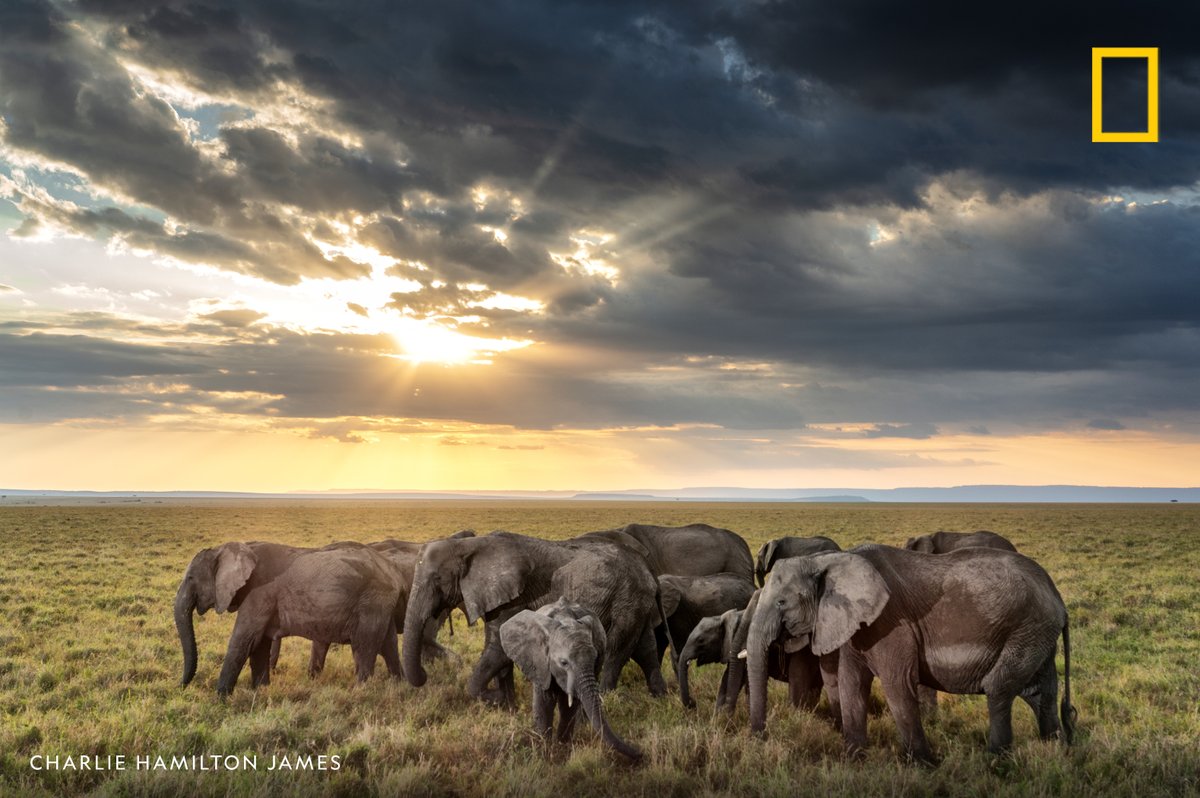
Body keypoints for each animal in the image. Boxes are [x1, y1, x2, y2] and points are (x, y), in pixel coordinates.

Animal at [215, 544, 404, 695]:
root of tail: (393, 572)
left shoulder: (259, 593)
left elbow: (245, 640)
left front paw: (221, 699)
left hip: (372, 601)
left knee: (364, 645)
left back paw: (360, 692)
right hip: (381, 604)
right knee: (388, 644)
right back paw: (399, 686)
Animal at [402, 531, 666, 706]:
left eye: (437, 579)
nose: (425, 674)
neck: (467, 546)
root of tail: (648, 569)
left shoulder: (515, 597)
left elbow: (498, 647)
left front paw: (497, 699)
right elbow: (500, 646)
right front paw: (507, 705)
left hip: (627, 598)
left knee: (616, 648)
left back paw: (606, 699)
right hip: (636, 602)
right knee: (646, 647)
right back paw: (661, 697)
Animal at [500, 599, 642, 761]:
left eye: (595, 658)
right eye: (564, 663)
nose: (640, 751)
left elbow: (570, 706)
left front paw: (563, 748)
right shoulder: (539, 662)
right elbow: (544, 702)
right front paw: (544, 751)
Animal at [746, 545, 1075, 763]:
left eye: (782, 602)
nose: (759, 738)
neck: (825, 560)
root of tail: (1056, 595)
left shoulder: (889, 622)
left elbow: (897, 685)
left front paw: (924, 766)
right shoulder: (856, 623)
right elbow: (852, 683)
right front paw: (854, 761)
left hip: (1027, 626)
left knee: (999, 687)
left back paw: (994, 763)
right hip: (1036, 633)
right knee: (1041, 691)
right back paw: (1057, 751)